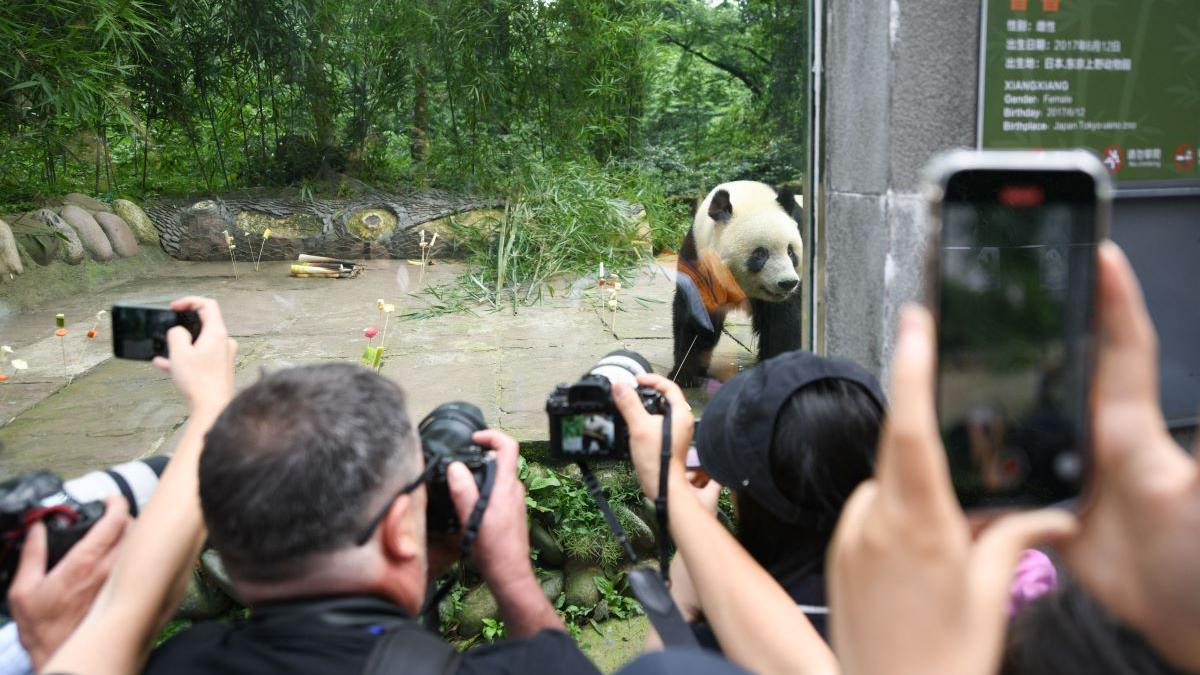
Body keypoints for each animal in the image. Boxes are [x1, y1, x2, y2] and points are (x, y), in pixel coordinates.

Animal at [669, 181, 804, 387]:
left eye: (790, 251)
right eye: (760, 253)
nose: (787, 283)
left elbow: (784, 322)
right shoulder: (699, 257)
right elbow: (695, 317)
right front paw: (685, 375)